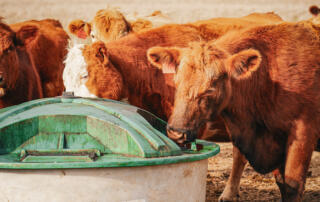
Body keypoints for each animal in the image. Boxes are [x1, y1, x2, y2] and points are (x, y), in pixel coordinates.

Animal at [149, 21, 320, 201]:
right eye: (176, 81)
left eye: (210, 88)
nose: (176, 132)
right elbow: (281, 182)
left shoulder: (303, 133)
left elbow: (292, 186)